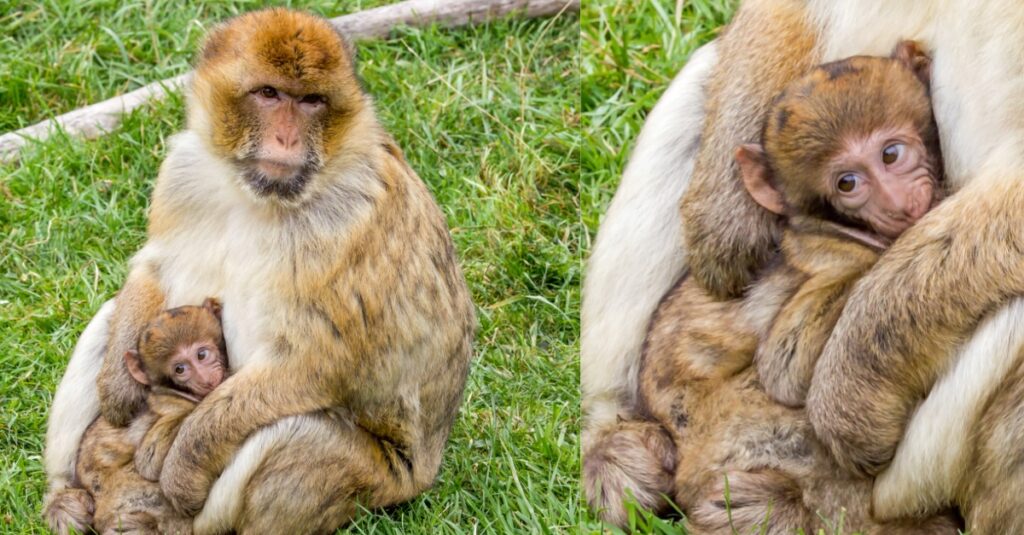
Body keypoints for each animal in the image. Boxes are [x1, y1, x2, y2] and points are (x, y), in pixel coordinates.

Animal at [582, 1, 1024, 531]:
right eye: (848, 182)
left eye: (892, 154)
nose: (896, 201)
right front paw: (727, 218)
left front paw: (850, 388)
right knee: (704, 78)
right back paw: (616, 439)